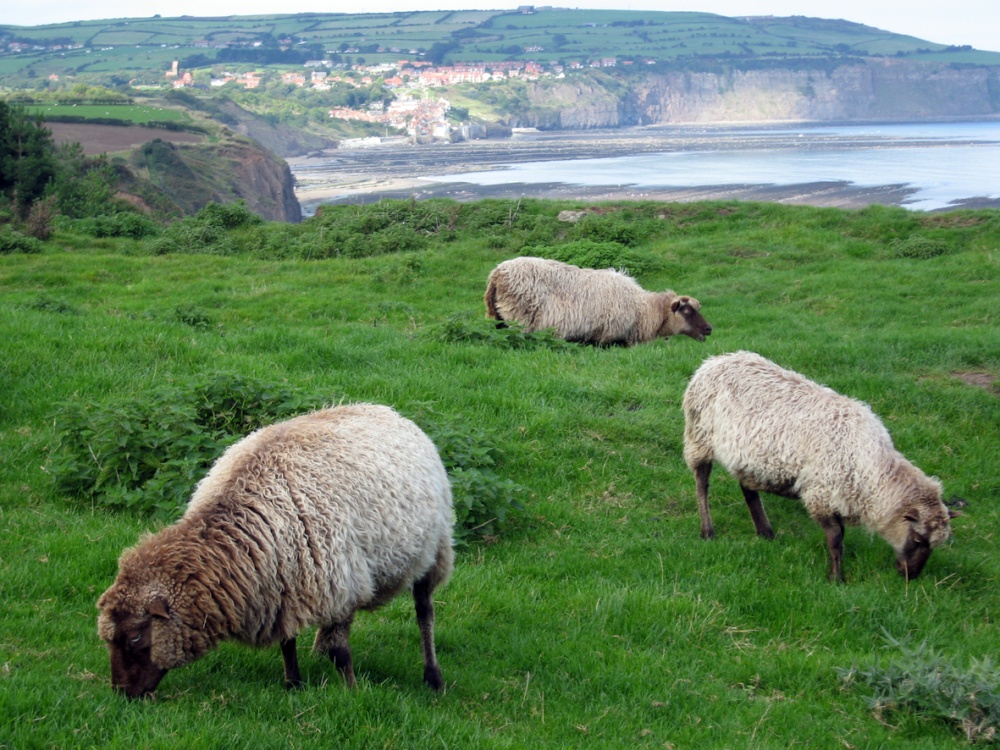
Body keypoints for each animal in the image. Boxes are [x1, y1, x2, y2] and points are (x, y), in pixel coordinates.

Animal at [97, 403, 454, 698]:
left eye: (135, 637)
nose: (122, 694)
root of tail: (387, 410)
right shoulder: (285, 587)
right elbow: (287, 641)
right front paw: (293, 684)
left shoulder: (336, 578)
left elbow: (341, 653)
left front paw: (351, 691)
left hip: (434, 551)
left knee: (424, 613)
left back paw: (433, 677)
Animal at [484, 256, 712, 346]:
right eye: (687, 311)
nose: (709, 329)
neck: (643, 309)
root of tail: (497, 273)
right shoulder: (607, 337)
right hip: (518, 319)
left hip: (496, 316)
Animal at [682, 351, 957, 582]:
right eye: (918, 538)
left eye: (935, 544)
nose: (911, 575)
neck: (870, 469)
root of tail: (714, 361)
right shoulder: (821, 493)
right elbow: (835, 538)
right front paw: (836, 578)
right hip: (699, 437)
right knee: (701, 484)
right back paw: (708, 531)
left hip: (748, 456)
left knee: (747, 488)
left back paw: (765, 531)